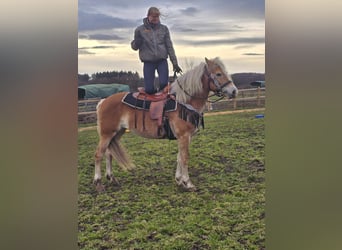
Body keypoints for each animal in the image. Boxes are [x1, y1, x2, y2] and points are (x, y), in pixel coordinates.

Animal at [93, 57, 238, 192]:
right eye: (218, 74)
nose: (234, 91)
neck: (183, 101)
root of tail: (103, 101)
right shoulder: (184, 136)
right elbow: (185, 157)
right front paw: (188, 183)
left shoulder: (186, 137)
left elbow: (179, 157)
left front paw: (179, 180)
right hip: (107, 134)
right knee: (99, 154)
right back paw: (98, 183)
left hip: (117, 133)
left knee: (109, 154)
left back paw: (112, 178)